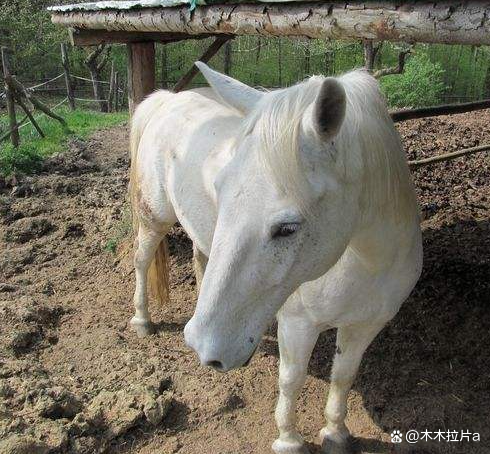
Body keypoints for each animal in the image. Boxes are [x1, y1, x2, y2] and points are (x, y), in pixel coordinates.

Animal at [129, 61, 422, 454]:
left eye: (287, 228)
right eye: (220, 189)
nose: (202, 346)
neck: (369, 263)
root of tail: (167, 99)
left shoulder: (366, 324)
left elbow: (344, 376)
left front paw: (335, 432)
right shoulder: (298, 324)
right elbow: (292, 379)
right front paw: (289, 439)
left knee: (200, 258)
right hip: (155, 218)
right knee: (142, 260)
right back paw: (143, 319)